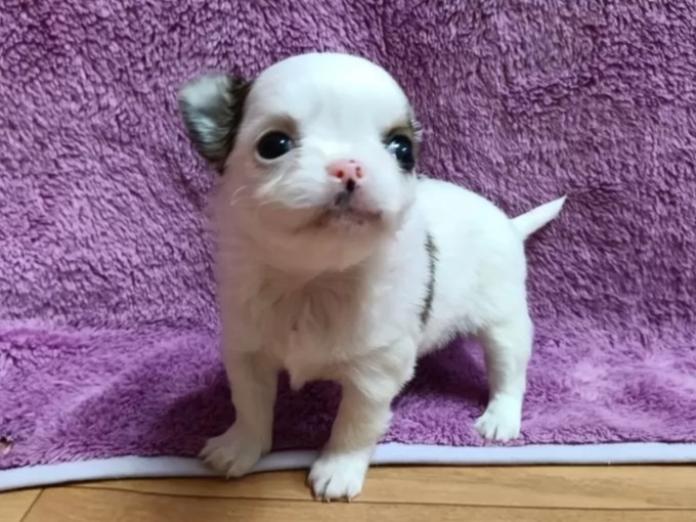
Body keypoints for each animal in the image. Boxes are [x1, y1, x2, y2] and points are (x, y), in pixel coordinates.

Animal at [178, 52, 565, 501]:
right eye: (273, 145)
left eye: (402, 149)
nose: (350, 166)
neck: (313, 279)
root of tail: (509, 224)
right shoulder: (247, 351)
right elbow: (250, 405)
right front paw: (240, 446)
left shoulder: (375, 375)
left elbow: (354, 425)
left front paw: (337, 469)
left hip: (504, 320)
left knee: (509, 370)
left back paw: (501, 417)